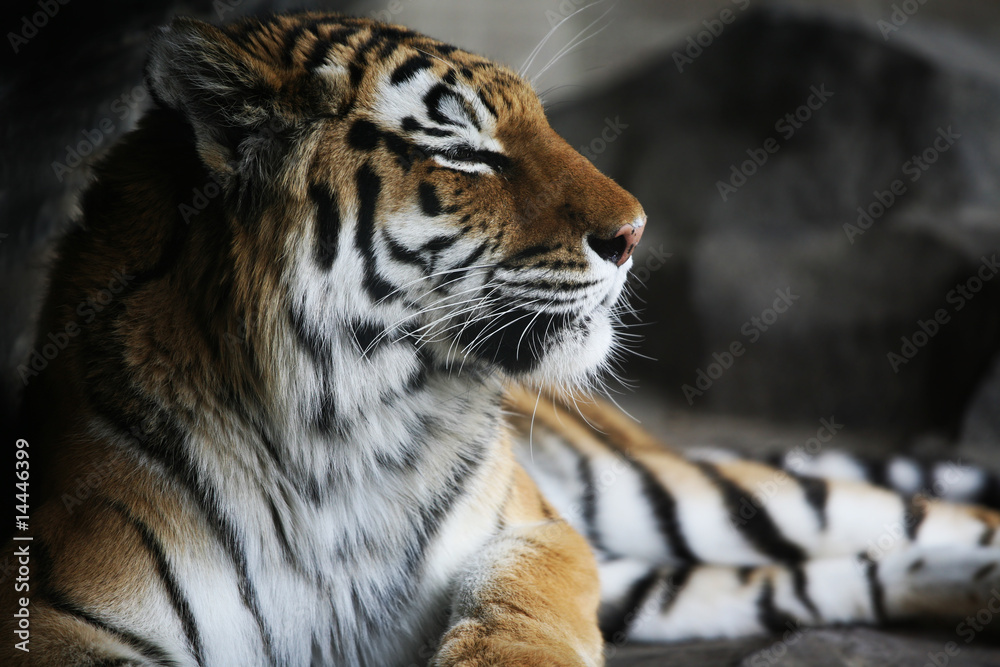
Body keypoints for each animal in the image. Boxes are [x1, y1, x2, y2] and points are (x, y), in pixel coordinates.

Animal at [5, 10, 1000, 667]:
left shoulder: (534, 526)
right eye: (467, 152)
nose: (637, 233)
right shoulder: (60, 612)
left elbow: (524, 607)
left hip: (676, 492)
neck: (338, 429)